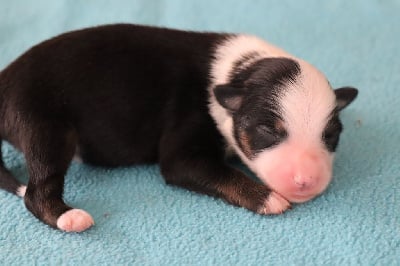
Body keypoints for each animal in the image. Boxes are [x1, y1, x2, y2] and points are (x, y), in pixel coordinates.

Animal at [0, 25, 356, 233]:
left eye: (330, 135)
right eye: (269, 130)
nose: (307, 181)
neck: (239, 73)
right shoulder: (184, 143)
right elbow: (215, 171)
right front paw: (268, 199)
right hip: (43, 125)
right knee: (37, 191)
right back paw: (69, 217)